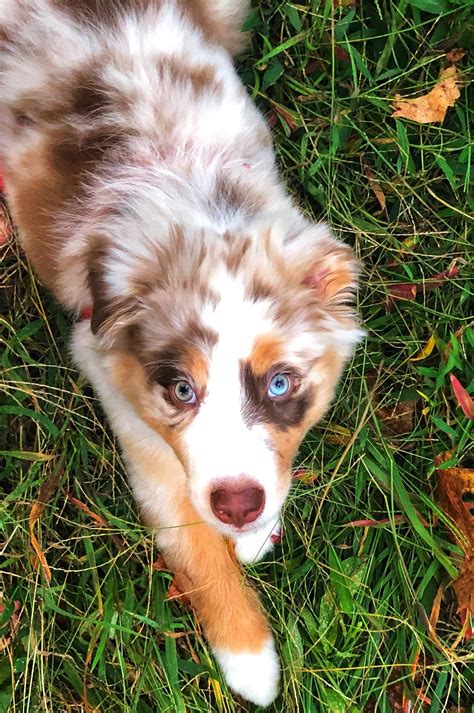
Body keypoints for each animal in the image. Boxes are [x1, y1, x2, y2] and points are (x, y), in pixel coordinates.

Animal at [0, 0, 362, 700]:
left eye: (279, 383)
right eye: (181, 389)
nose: (239, 506)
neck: (196, 205)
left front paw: (253, 535)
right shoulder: (138, 428)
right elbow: (198, 552)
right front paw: (251, 663)